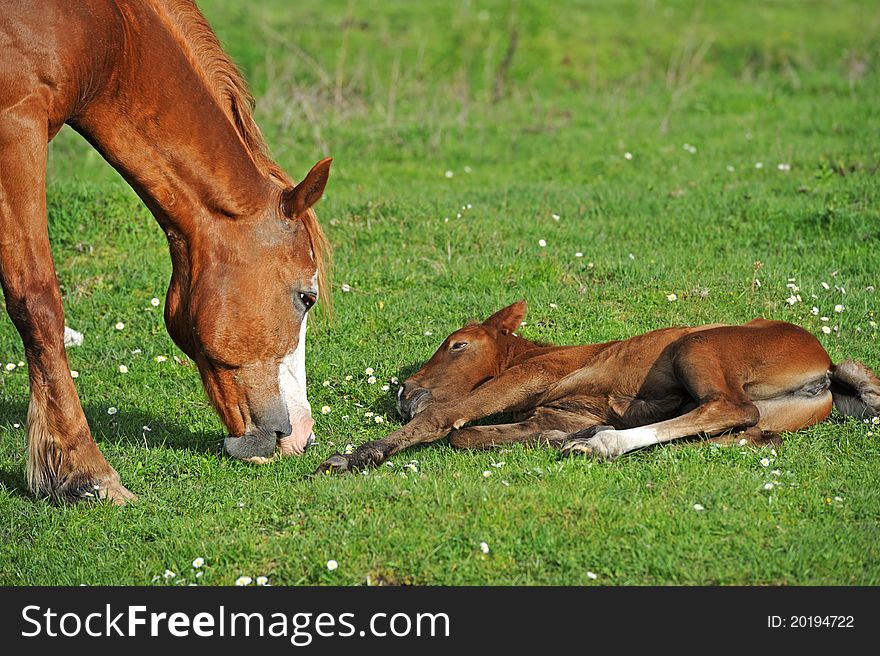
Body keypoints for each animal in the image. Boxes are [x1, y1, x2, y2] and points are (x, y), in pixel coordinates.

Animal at [1, 0, 332, 504]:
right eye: (305, 298)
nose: (304, 435)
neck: (110, 32)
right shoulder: (16, 129)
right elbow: (37, 304)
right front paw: (85, 472)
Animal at [318, 300, 880, 474]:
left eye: (456, 345)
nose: (403, 390)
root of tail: (826, 366)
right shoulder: (558, 412)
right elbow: (469, 435)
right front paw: (563, 440)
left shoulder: (527, 378)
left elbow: (445, 419)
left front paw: (355, 456)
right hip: (773, 418)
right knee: (750, 431)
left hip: (696, 347)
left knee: (729, 409)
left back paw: (602, 446)